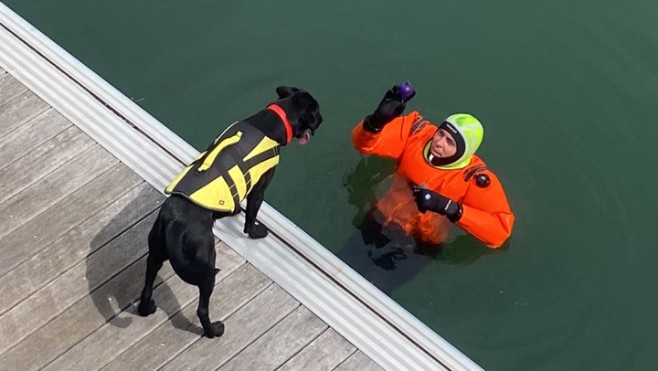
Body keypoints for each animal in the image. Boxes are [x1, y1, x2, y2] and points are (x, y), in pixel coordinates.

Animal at [139, 86, 322, 338]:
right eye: (317, 111)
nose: (323, 119)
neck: (272, 120)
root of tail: (173, 222)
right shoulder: (259, 189)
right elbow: (250, 219)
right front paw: (255, 232)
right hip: (206, 266)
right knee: (201, 309)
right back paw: (213, 330)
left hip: (155, 253)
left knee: (147, 285)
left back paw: (146, 308)